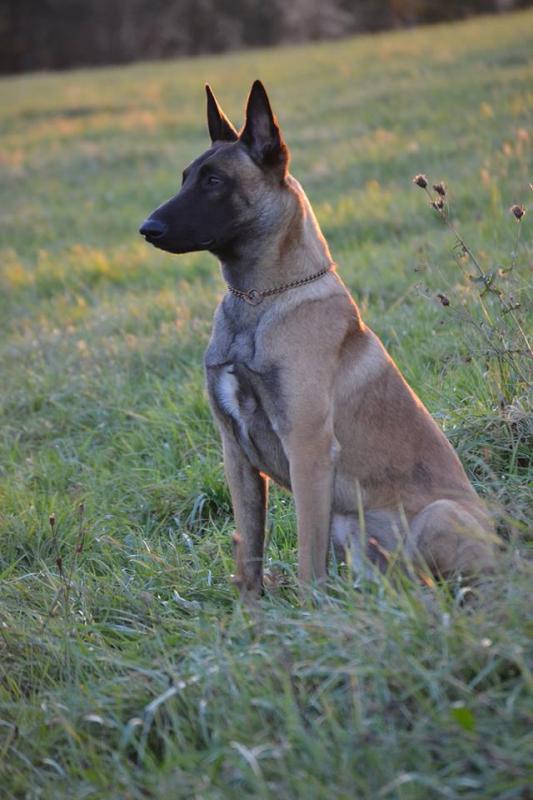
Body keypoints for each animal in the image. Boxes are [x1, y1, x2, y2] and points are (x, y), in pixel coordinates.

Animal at [140, 80, 495, 597]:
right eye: (186, 178)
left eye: (214, 182)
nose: (147, 229)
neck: (260, 300)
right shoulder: (235, 456)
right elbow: (248, 557)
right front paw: (251, 618)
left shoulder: (308, 451)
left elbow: (309, 563)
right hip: (352, 530)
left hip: (436, 515)